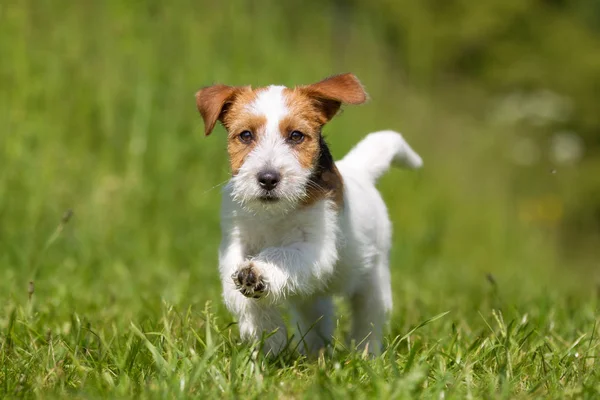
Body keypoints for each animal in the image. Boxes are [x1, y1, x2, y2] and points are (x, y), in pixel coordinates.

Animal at [197, 73, 422, 354]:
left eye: (296, 136)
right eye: (246, 135)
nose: (268, 178)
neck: (275, 214)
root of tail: (360, 169)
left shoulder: (315, 247)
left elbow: (280, 255)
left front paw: (258, 273)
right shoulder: (235, 241)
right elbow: (237, 291)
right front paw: (267, 334)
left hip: (374, 279)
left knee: (369, 320)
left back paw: (364, 354)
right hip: (312, 300)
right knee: (316, 320)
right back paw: (314, 354)